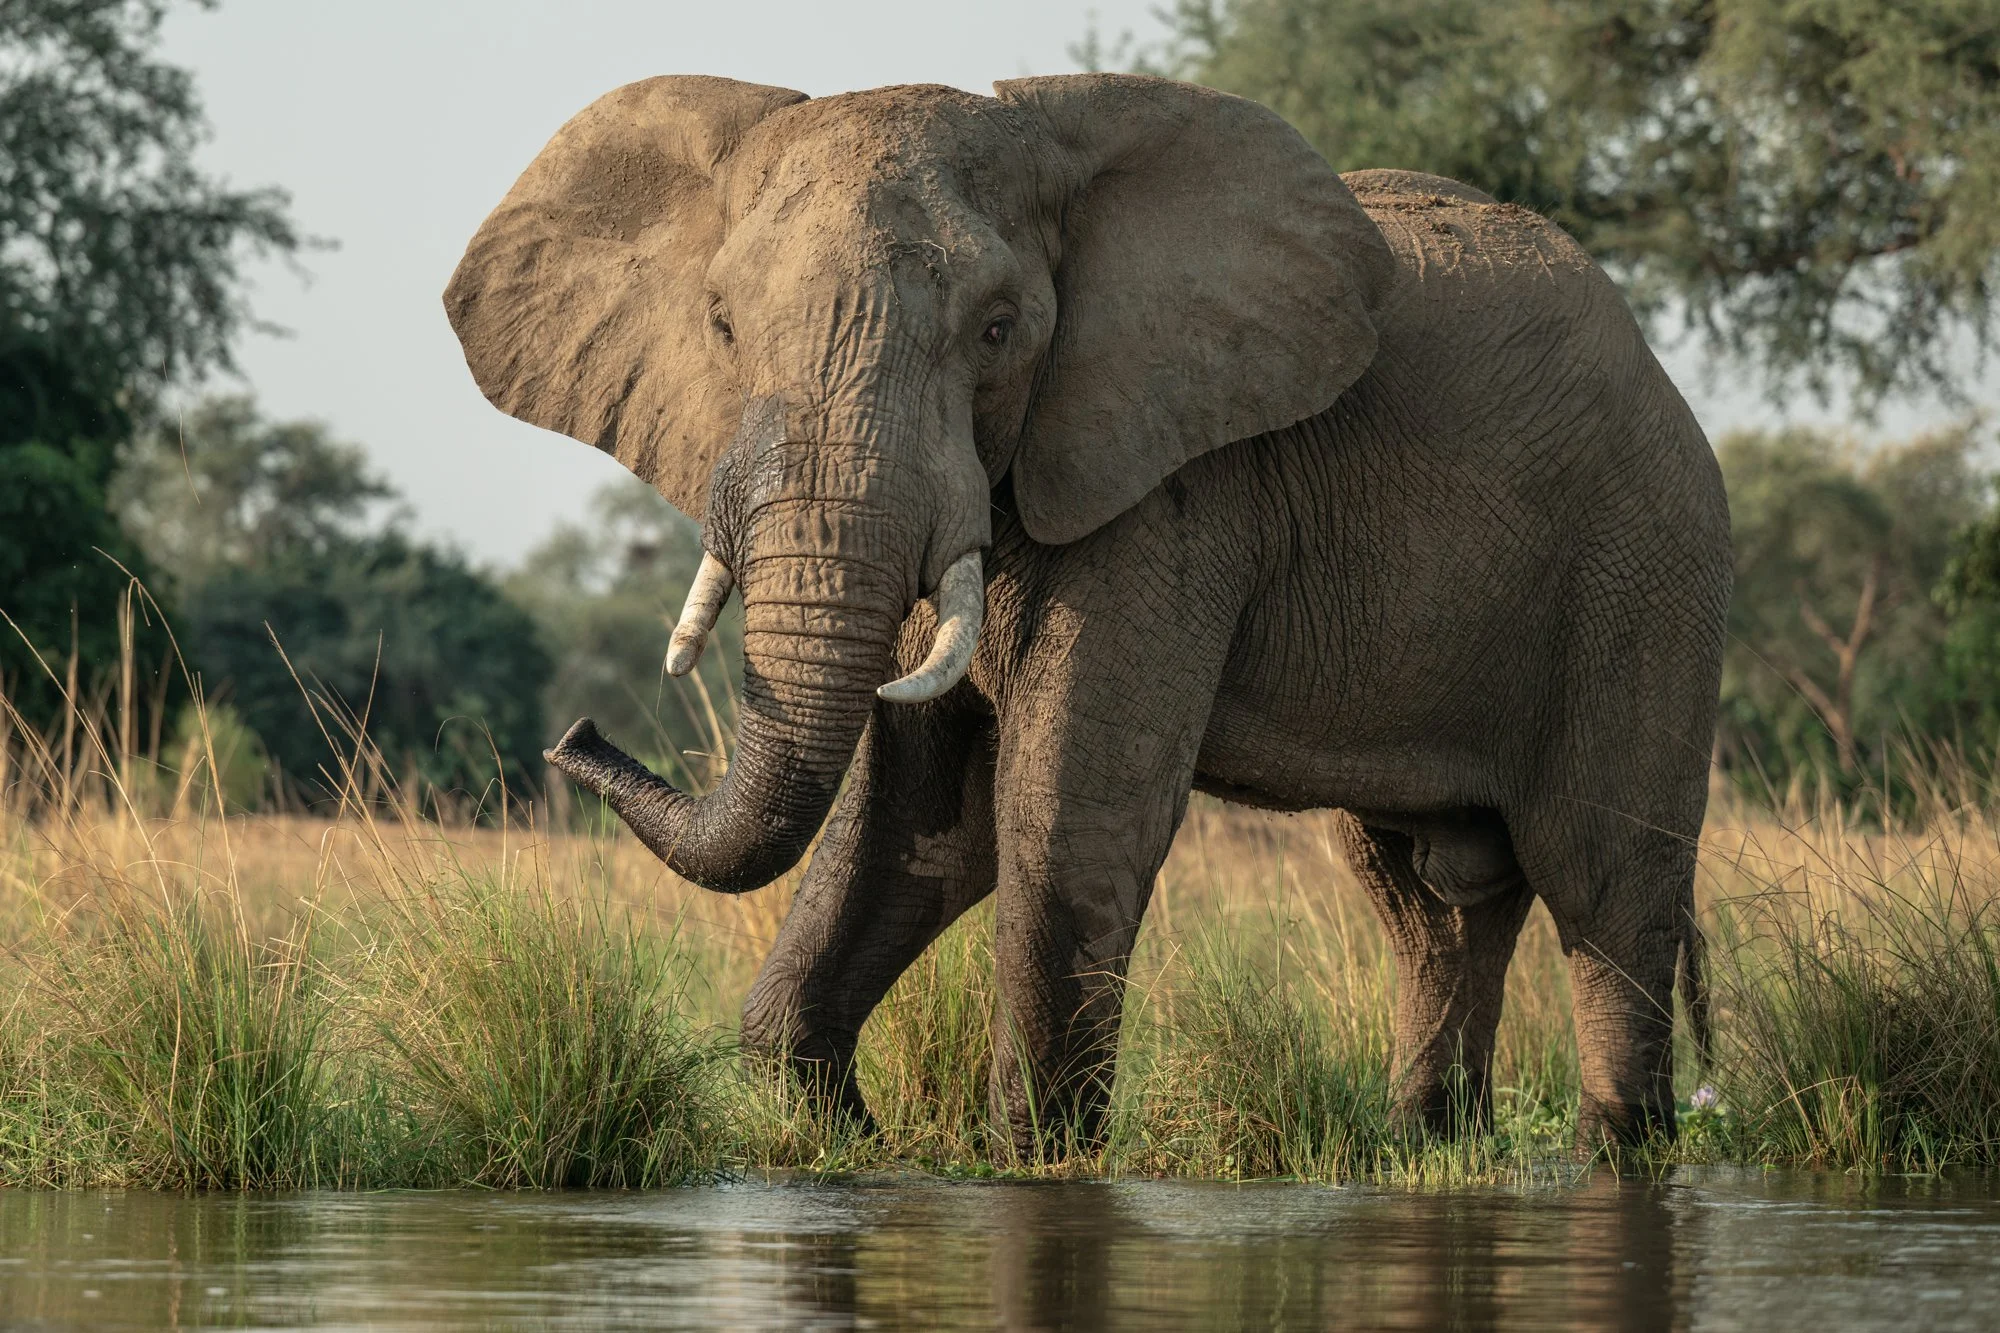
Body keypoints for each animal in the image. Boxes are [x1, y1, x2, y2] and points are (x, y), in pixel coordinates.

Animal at [444, 72, 1730, 1154]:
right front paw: (837, 1135)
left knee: (1602, 877)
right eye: (720, 326)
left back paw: (1616, 1151)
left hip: (1642, 572)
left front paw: (1034, 1158)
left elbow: (1061, 813)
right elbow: (922, 817)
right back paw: (1425, 1146)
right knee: (1426, 895)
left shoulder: (1174, 487)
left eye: (998, 329)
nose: (573, 739)